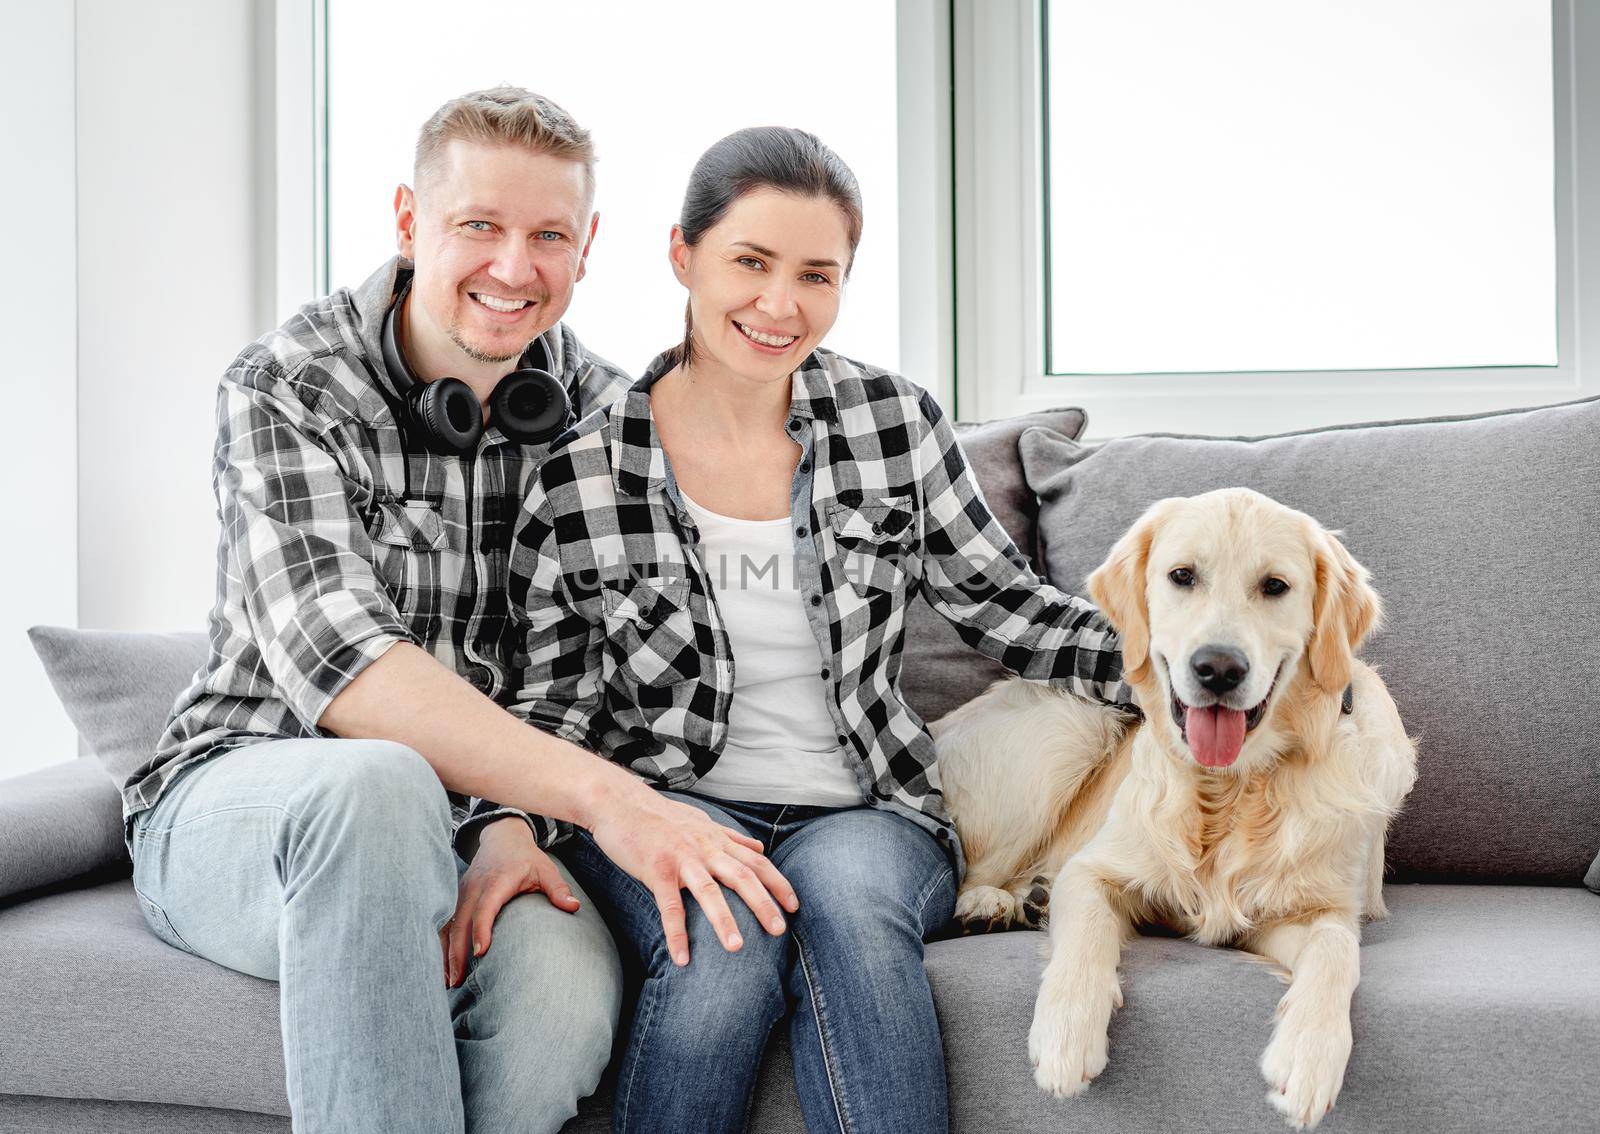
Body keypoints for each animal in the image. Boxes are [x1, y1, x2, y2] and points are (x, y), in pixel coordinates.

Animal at [934, 483, 1420, 1126]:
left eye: (1275, 586)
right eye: (1182, 576)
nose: (1218, 668)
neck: (1231, 790)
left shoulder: (1309, 910)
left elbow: (1337, 950)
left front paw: (1309, 1057)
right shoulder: (1093, 869)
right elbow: (1086, 930)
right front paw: (1066, 1034)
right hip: (1070, 729)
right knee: (971, 866)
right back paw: (992, 903)